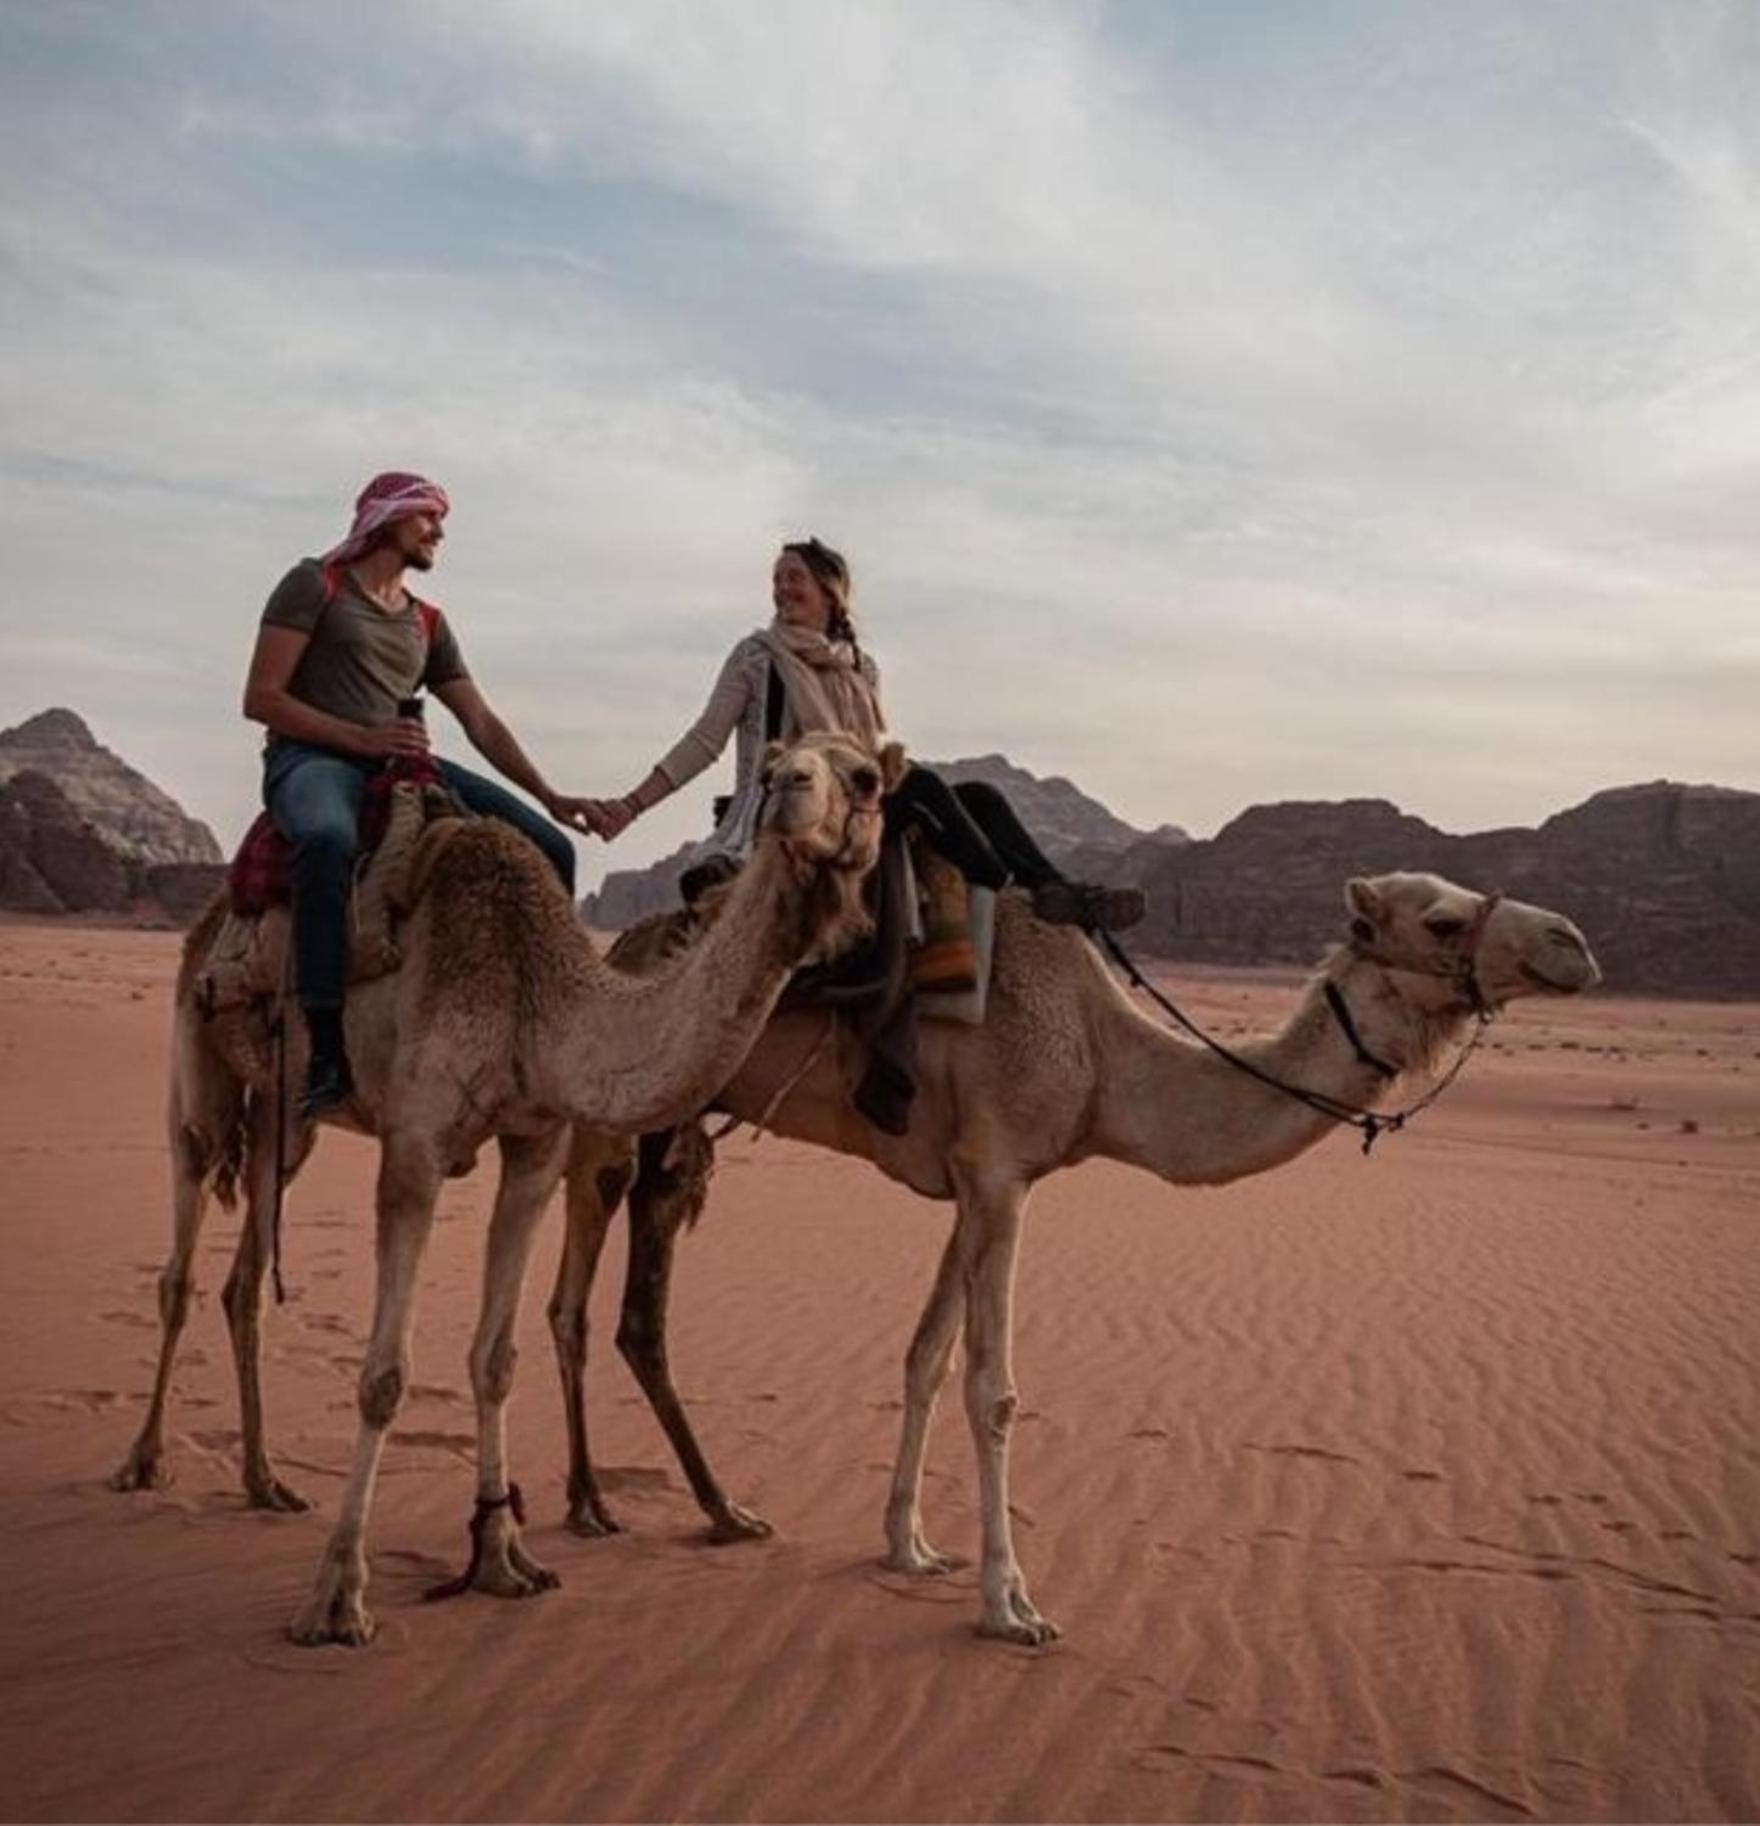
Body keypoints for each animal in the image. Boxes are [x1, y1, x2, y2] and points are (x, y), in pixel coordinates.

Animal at [106, 730, 894, 1658]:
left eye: (867, 777)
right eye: (769, 768)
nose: (788, 792)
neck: (534, 994)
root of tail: (212, 920)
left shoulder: (535, 1149)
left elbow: (496, 1359)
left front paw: (499, 1556)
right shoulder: (415, 1147)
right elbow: (384, 1376)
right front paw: (338, 1597)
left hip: (284, 1120)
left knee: (243, 1282)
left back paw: (266, 1482)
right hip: (199, 1070)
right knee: (181, 1259)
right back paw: (142, 1461)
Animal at [547, 869, 1592, 1643]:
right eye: (1443, 917)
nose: (1572, 943)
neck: (1101, 1056)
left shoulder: (979, 1179)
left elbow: (926, 1358)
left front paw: (910, 1547)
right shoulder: (1001, 1172)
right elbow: (993, 1388)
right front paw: (1011, 1606)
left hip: (672, 1127)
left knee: (631, 1308)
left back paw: (702, 1513)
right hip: (609, 1108)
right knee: (571, 1292)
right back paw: (586, 1511)